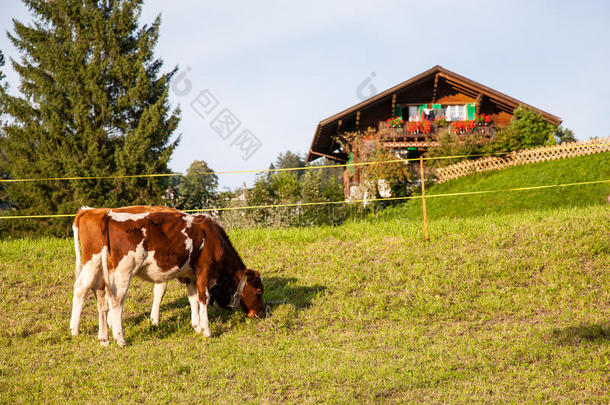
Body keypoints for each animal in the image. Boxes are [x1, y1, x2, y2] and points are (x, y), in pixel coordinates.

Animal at [70, 207, 262, 346]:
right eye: (259, 291)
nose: (259, 314)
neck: (213, 238)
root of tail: (108, 215)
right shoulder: (204, 272)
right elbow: (203, 298)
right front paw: (206, 331)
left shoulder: (190, 276)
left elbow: (193, 298)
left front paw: (197, 326)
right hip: (122, 271)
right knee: (114, 301)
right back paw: (119, 338)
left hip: (97, 266)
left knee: (98, 295)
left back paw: (102, 337)